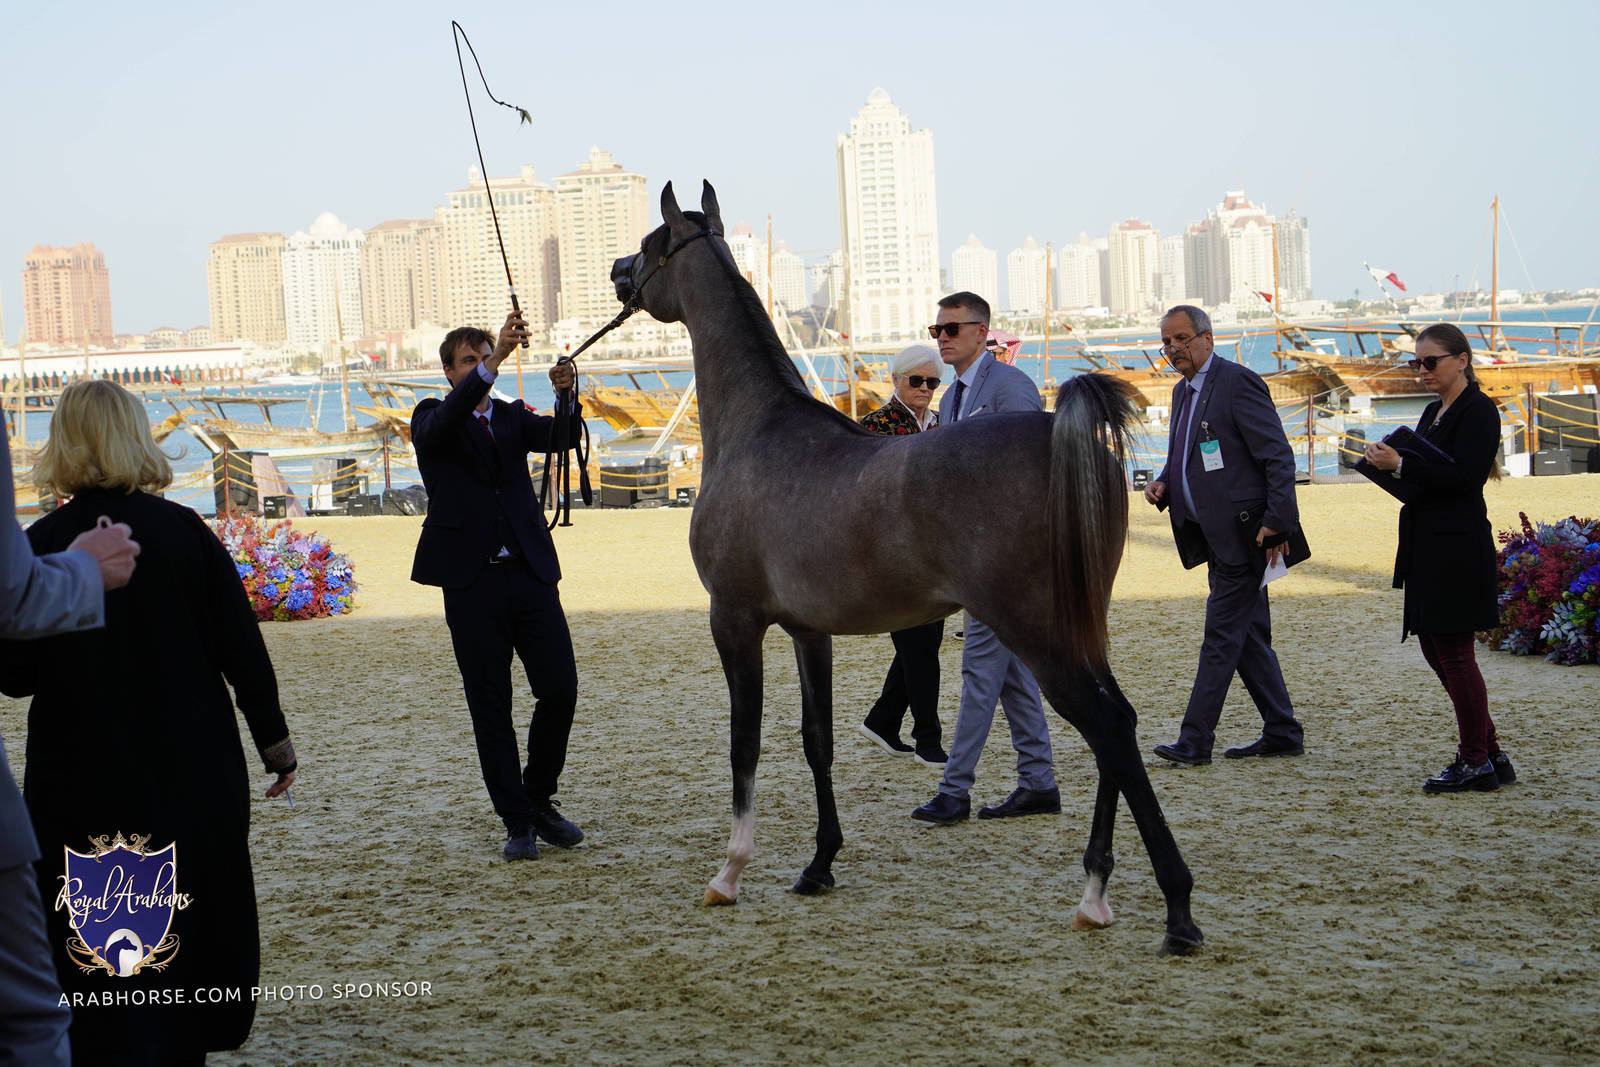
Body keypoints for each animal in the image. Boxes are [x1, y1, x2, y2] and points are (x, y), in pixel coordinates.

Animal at [610, 181, 1203, 955]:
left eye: (652, 243)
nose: (617, 273)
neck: (758, 429)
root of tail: (1059, 431)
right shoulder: (808, 631)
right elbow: (818, 741)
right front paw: (819, 864)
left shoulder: (733, 620)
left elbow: (745, 743)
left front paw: (730, 872)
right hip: (1080, 626)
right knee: (1119, 724)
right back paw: (1096, 895)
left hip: (1038, 633)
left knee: (1108, 729)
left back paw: (1172, 908)